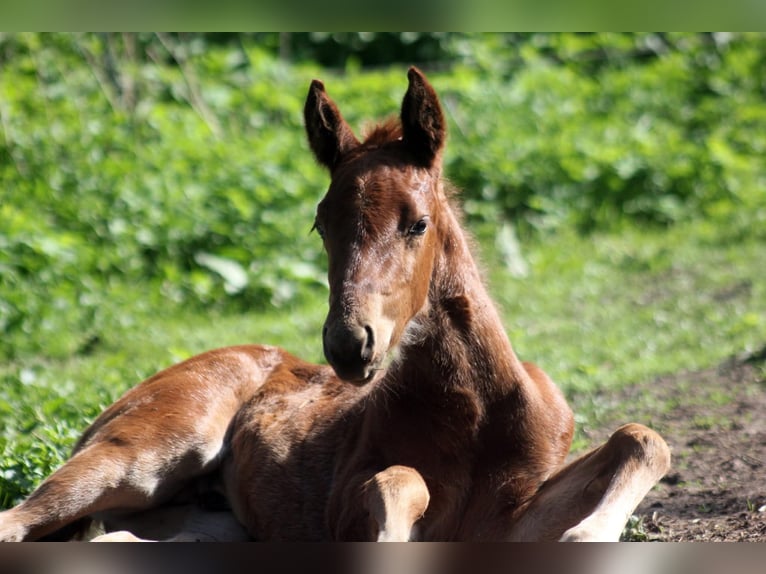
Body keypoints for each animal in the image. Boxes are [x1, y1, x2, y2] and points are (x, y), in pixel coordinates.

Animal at [0, 67, 670, 542]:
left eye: (417, 223)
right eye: (321, 225)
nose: (350, 345)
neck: (476, 411)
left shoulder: (510, 513)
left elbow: (640, 437)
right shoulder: (343, 503)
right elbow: (399, 480)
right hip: (139, 458)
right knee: (17, 522)